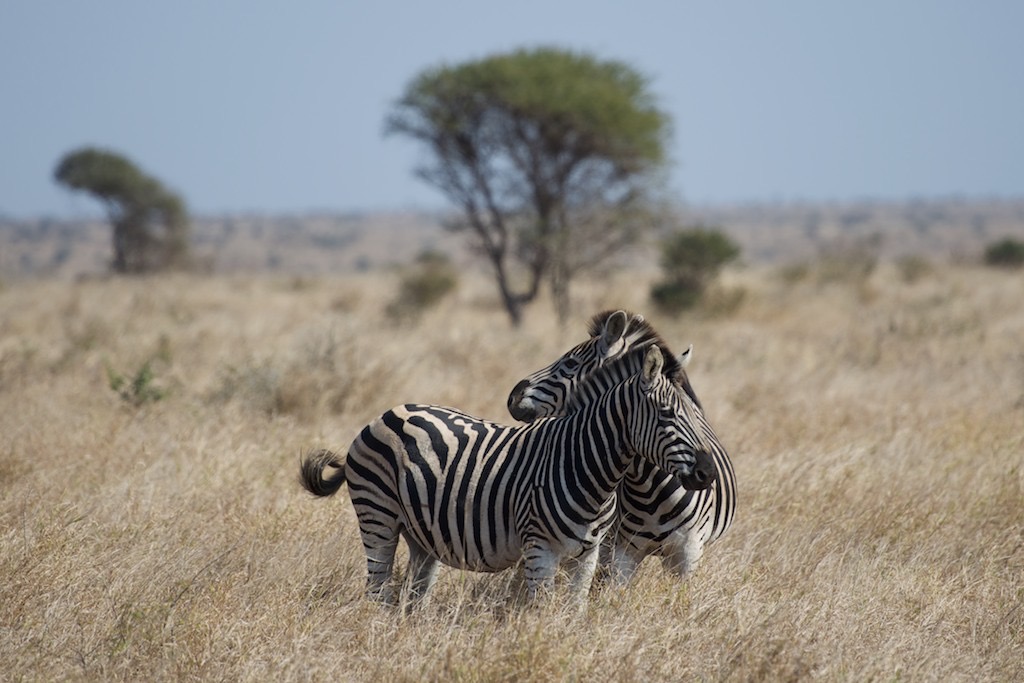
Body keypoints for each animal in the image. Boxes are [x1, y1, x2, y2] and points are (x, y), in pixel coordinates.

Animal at [296, 344, 716, 606]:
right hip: (377, 517)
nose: (708, 472)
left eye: (697, 414)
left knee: (412, 596)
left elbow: (574, 613)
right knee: (378, 590)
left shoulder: (589, 554)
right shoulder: (540, 549)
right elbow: (542, 614)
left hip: (422, 534)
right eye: (667, 415)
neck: (590, 470)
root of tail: (387, 413)